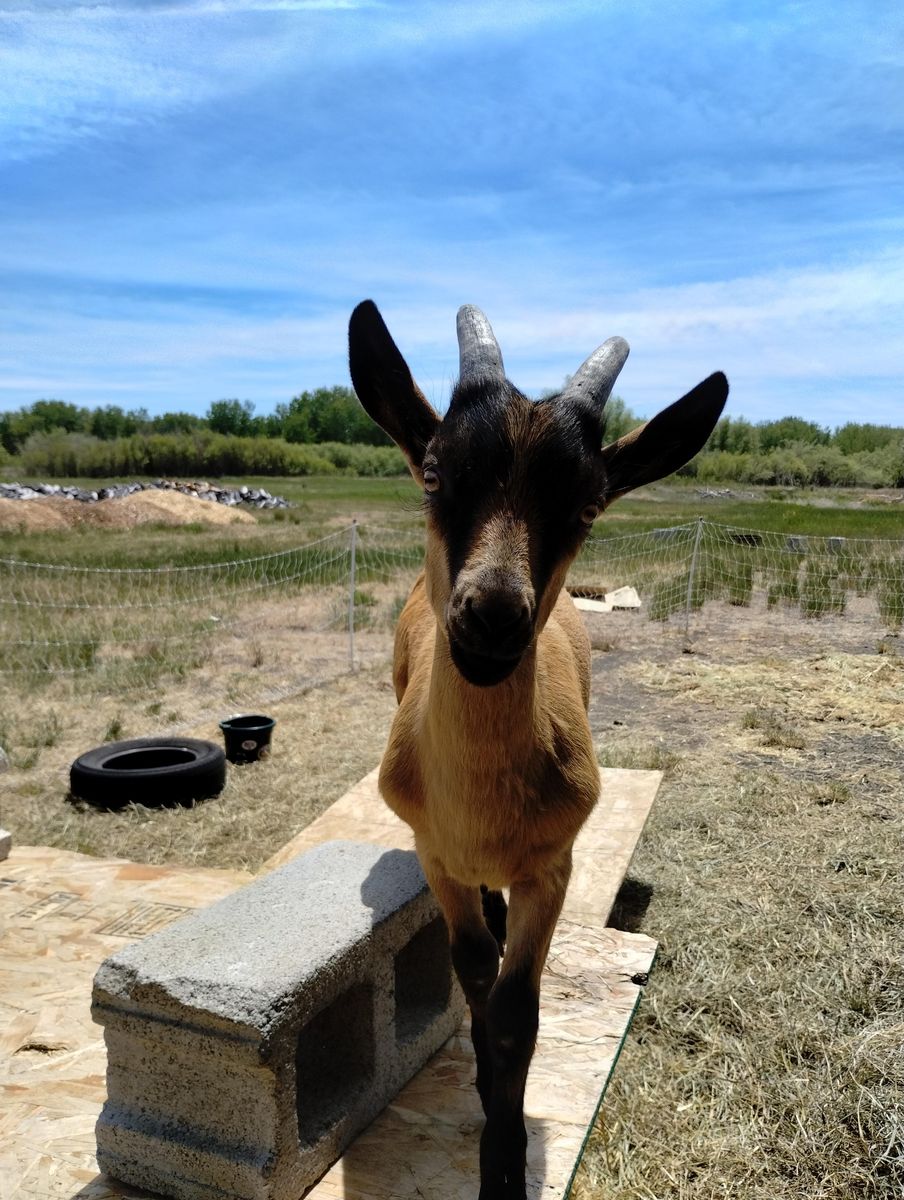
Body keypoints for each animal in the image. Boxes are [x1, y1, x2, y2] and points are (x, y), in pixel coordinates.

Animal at [349, 300, 727, 1199]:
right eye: (435, 472)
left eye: (588, 504)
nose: (491, 617)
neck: (480, 805)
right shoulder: (436, 854)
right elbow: (474, 972)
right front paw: (488, 1090)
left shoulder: (551, 866)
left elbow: (519, 1011)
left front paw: (504, 1156)